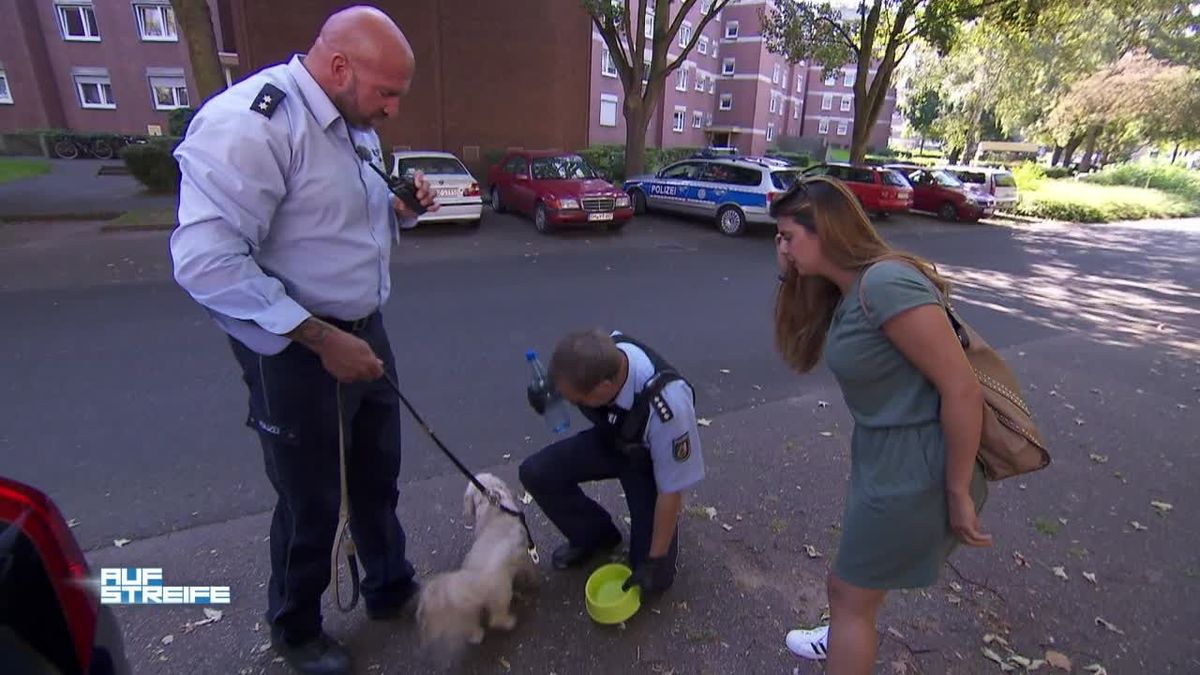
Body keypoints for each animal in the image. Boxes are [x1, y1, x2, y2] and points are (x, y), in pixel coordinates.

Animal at [417, 473, 540, 653]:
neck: (492, 505)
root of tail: (471, 582)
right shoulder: (524, 554)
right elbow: (529, 569)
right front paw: (532, 582)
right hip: (501, 594)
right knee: (496, 619)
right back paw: (509, 622)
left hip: (468, 610)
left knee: (471, 626)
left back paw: (476, 636)